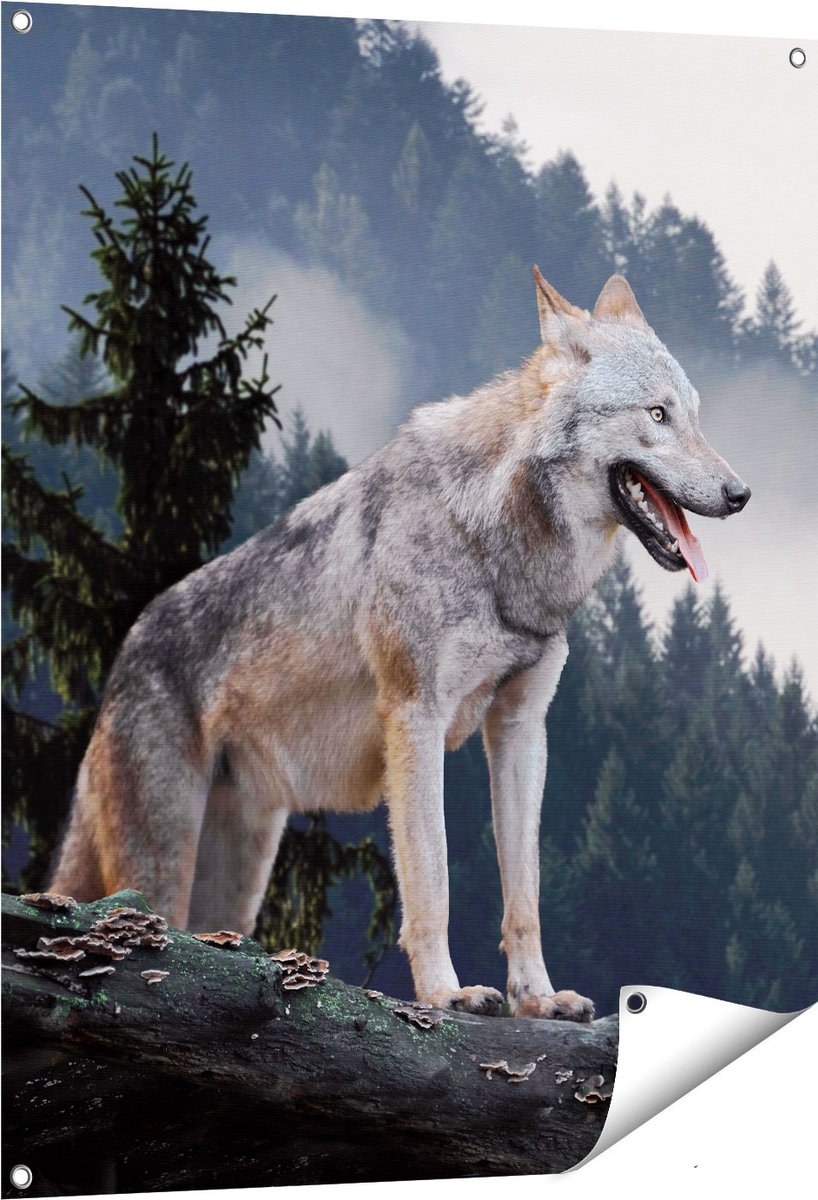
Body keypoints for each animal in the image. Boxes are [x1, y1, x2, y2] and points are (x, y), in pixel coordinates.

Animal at [51, 269, 750, 1021]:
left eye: (696, 416)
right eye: (657, 415)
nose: (741, 493)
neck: (497, 544)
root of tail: (125, 651)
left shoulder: (521, 729)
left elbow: (524, 894)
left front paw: (537, 999)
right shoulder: (416, 718)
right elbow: (432, 879)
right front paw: (446, 993)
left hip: (236, 879)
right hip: (161, 864)